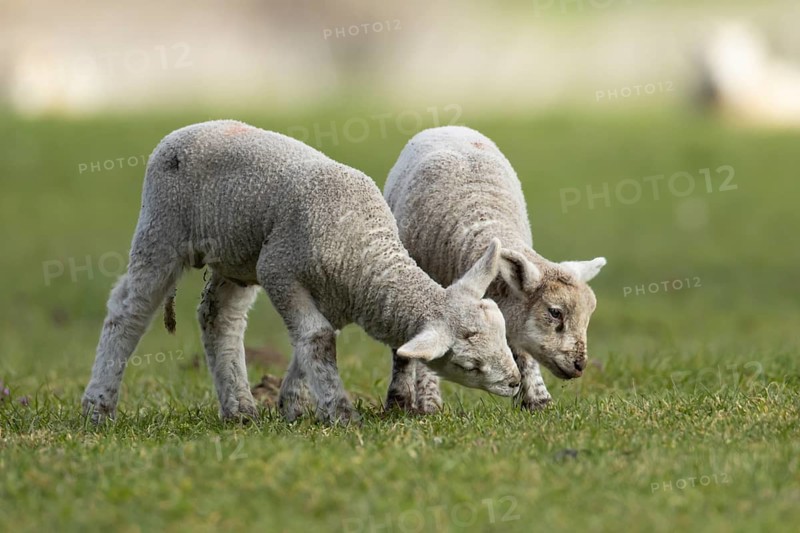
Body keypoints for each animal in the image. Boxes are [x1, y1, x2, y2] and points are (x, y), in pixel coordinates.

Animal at [81, 120, 522, 425]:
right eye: (467, 364)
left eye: (503, 334)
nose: (515, 381)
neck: (365, 250)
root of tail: (182, 131)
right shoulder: (280, 270)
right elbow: (317, 338)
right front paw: (340, 413)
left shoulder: (336, 298)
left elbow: (314, 341)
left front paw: (294, 404)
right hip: (162, 229)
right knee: (129, 310)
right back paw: (98, 407)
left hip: (238, 255)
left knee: (219, 319)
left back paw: (240, 408)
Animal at [383, 126, 606, 413]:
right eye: (555, 312)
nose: (580, 366)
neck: (483, 220)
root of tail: (448, 127)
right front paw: (414, 403)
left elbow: (522, 351)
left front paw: (538, 400)